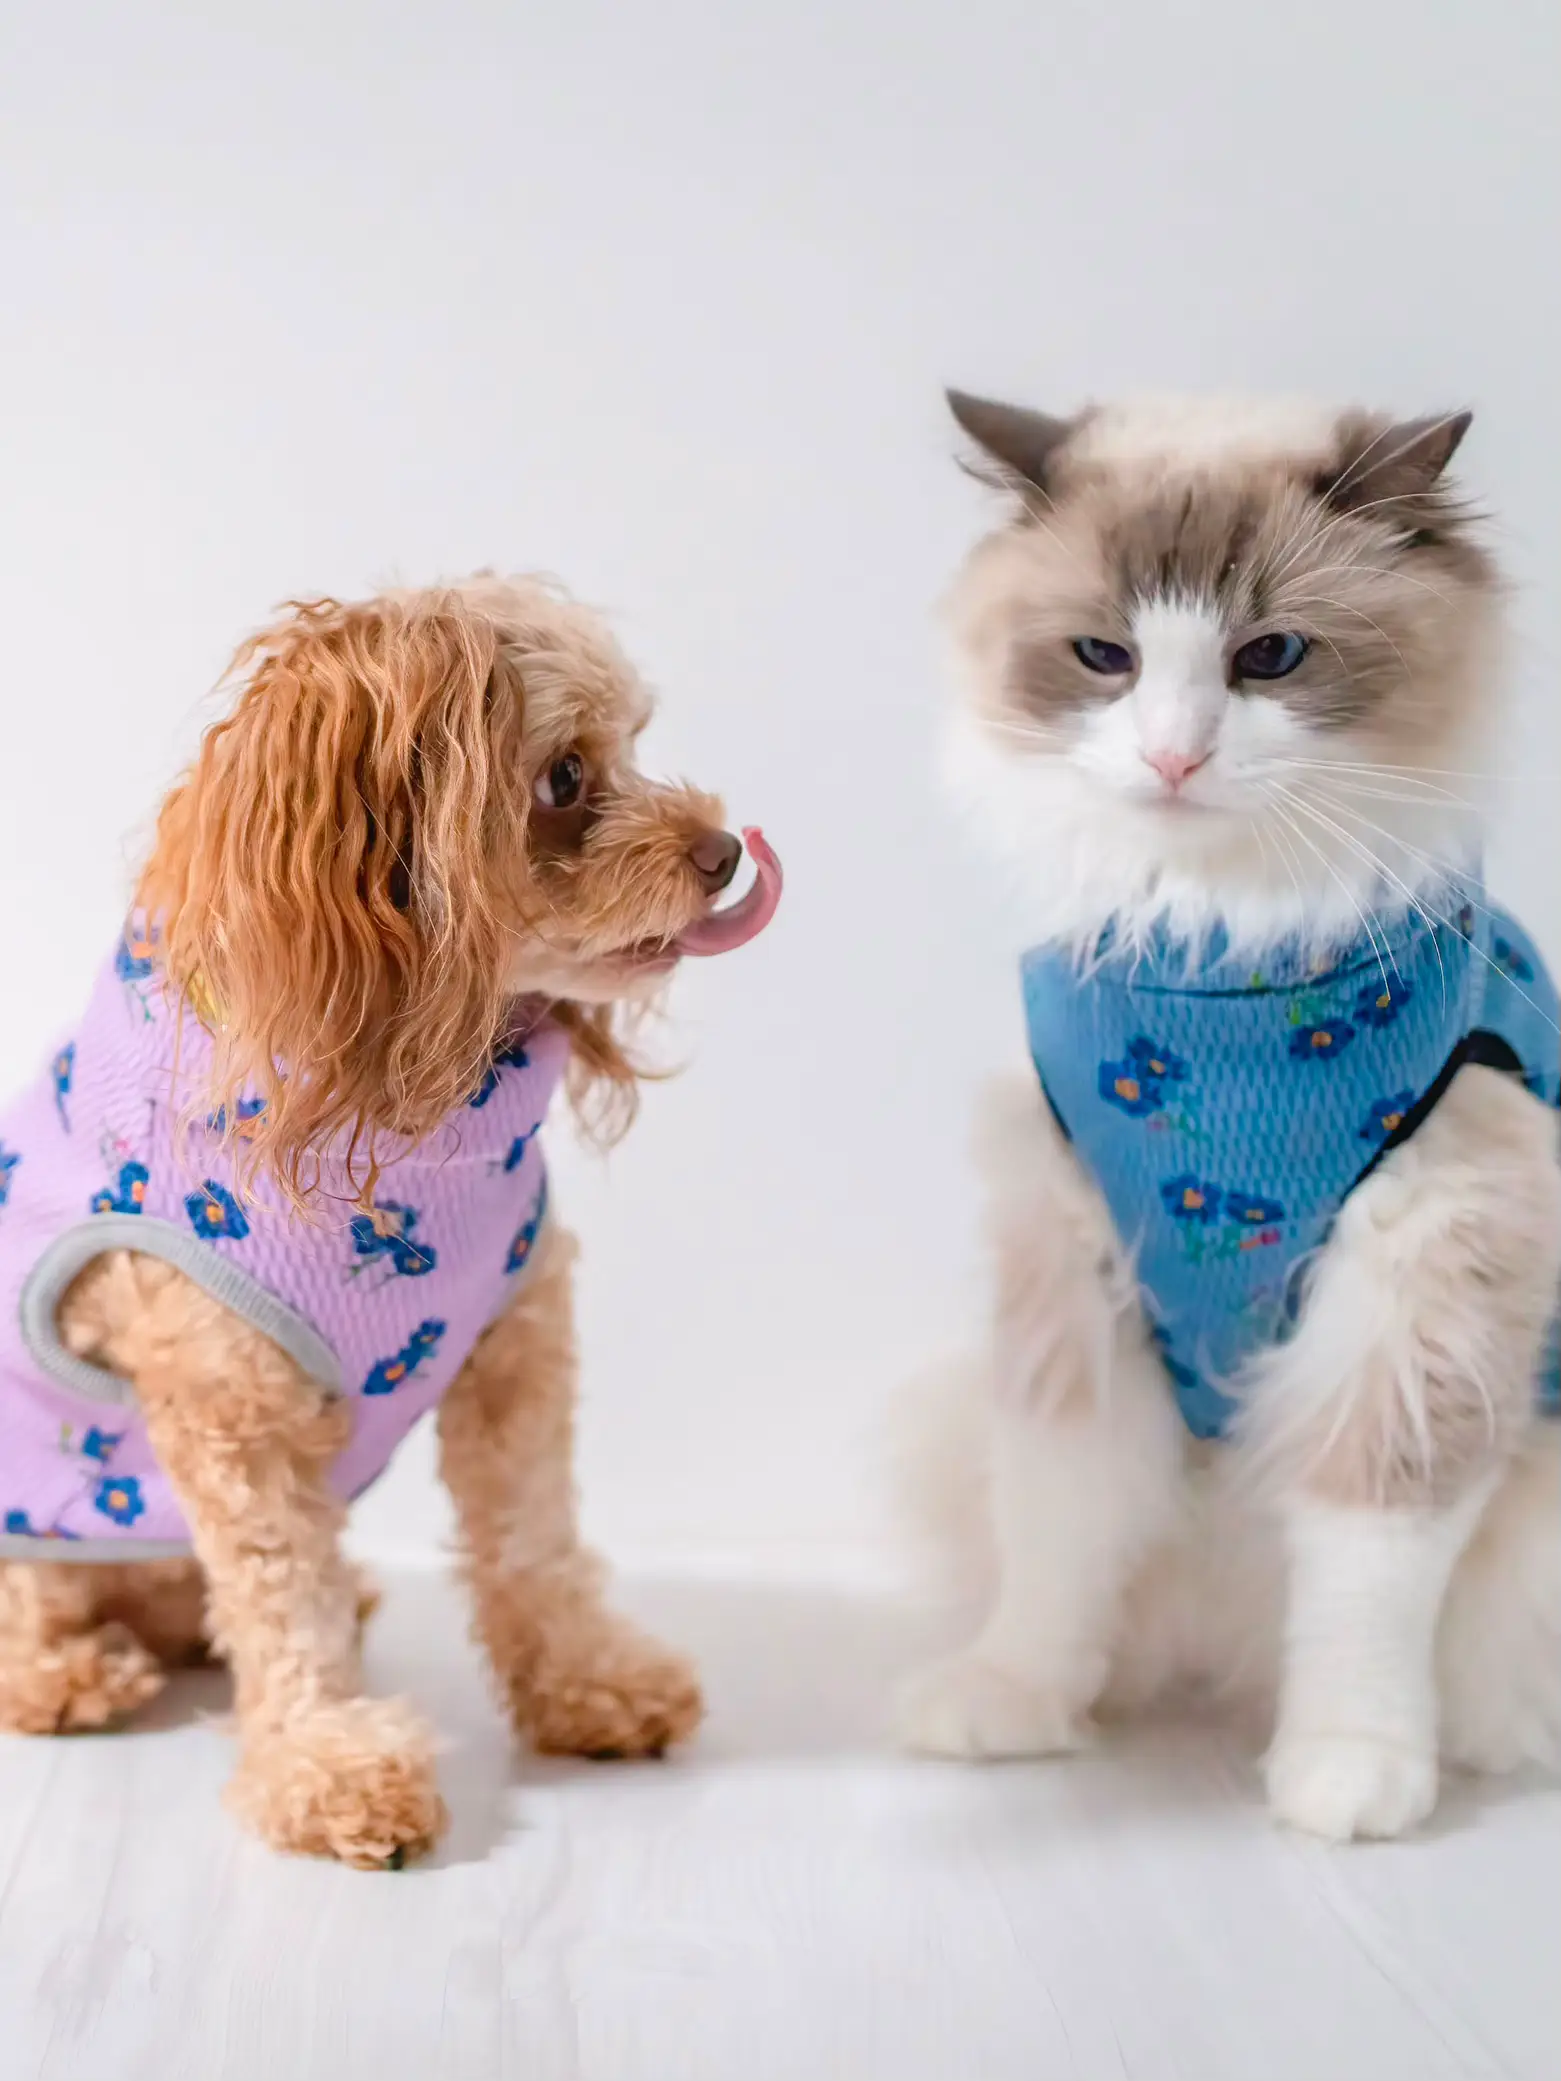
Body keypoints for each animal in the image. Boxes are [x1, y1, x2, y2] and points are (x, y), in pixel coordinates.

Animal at [899, 391, 1561, 1839]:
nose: (1172, 755)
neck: (1214, 976)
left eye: (1270, 657)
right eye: (1103, 656)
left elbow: (1369, 1574)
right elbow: (1057, 1531)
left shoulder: (1413, 1310)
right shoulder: (1073, 1288)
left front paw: (1349, 1771)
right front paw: (1013, 1703)